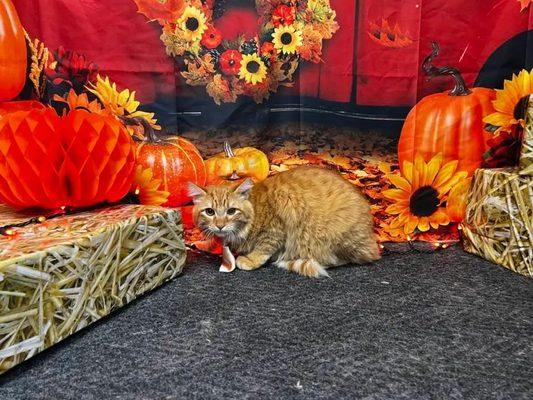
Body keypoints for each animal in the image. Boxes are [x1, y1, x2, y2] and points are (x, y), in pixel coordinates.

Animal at [189, 166, 380, 278]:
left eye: (231, 211)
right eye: (210, 212)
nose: (220, 225)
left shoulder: (276, 226)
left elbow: (264, 247)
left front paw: (250, 259)